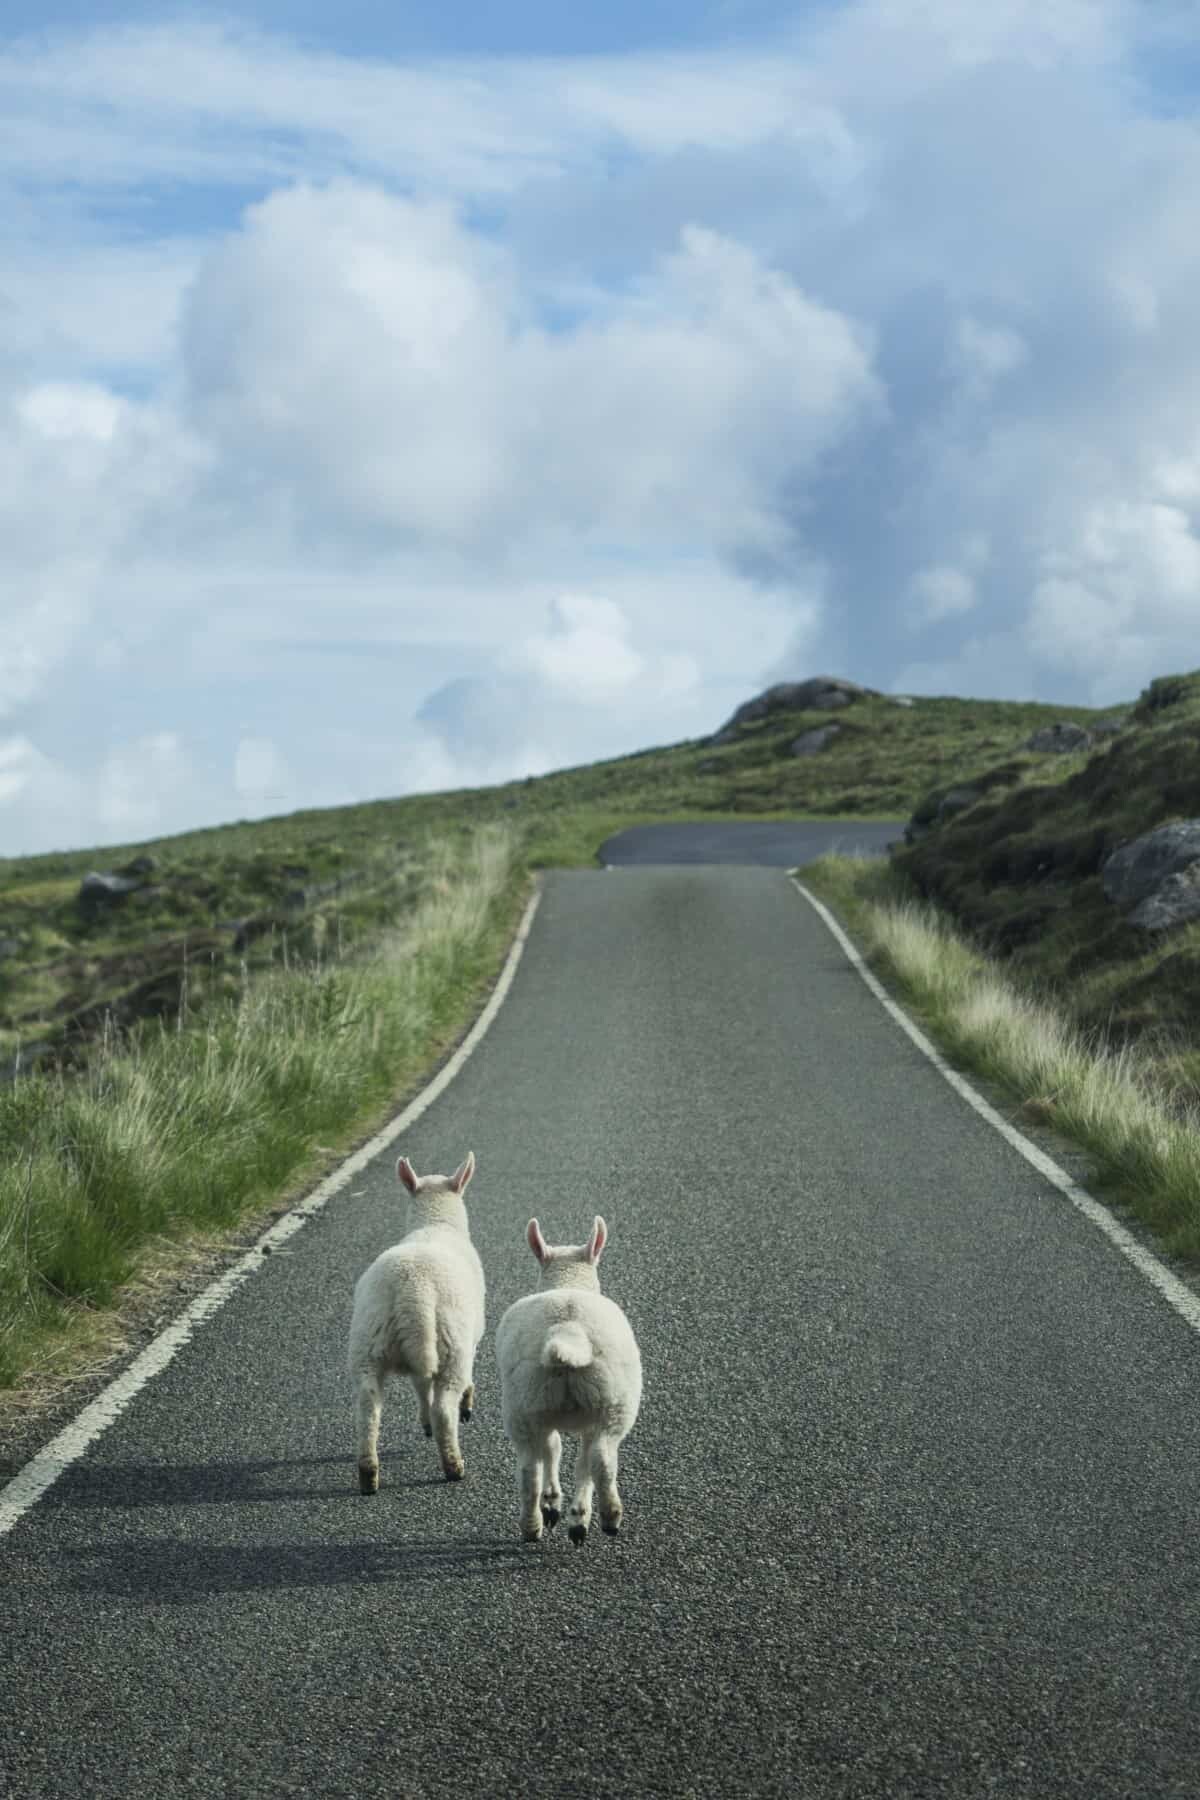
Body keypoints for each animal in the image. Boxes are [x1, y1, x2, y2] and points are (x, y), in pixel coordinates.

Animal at [345, 1152, 485, 1490]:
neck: (435, 1222)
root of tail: (413, 1291)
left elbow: (420, 1384)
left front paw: (424, 1423)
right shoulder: (471, 1338)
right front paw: (466, 1406)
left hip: (368, 1343)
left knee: (368, 1406)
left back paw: (368, 1473)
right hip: (451, 1343)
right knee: (444, 1407)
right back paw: (453, 1466)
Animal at [492, 1224, 644, 1548]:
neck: (569, 1280)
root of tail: (567, 1331)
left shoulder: (552, 1415)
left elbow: (560, 1451)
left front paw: (561, 1509)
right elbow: (572, 1458)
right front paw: (569, 1512)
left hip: (531, 1402)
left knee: (537, 1467)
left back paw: (541, 1523)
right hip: (610, 1404)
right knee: (596, 1459)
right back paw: (604, 1517)